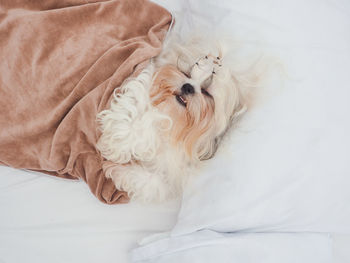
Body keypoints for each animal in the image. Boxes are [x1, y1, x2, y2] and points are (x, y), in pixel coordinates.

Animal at [95, 35, 252, 203]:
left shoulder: (170, 175)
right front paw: (116, 149)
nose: (188, 87)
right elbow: (132, 119)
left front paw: (114, 169)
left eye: (206, 92)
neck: (175, 119)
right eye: (186, 74)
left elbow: (153, 182)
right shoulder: (140, 89)